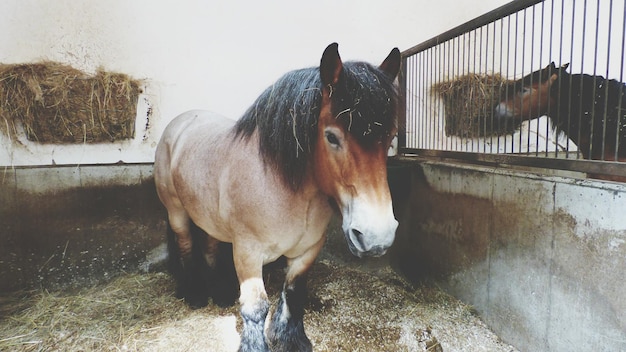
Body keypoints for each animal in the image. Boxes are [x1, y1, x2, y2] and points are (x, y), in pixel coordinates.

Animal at [155, 44, 400, 352]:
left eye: (390, 139)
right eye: (332, 137)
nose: (377, 236)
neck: (283, 188)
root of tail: (180, 122)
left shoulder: (307, 250)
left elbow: (294, 293)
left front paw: (292, 340)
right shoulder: (247, 253)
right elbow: (255, 308)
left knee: (210, 246)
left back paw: (219, 293)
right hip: (176, 212)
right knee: (186, 246)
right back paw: (195, 294)